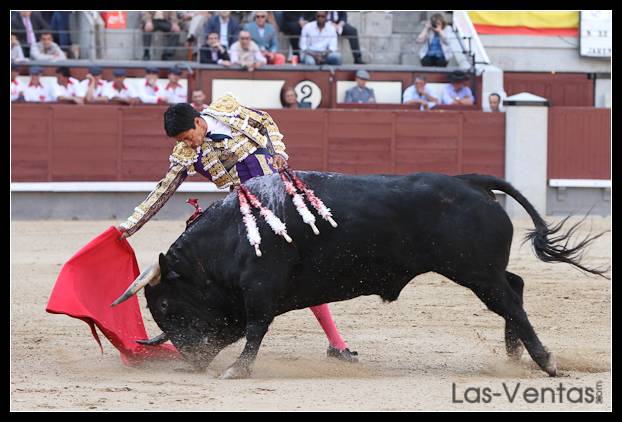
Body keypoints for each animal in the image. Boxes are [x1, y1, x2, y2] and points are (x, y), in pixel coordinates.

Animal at [128, 171, 608, 380]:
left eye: (166, 303)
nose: (191, 358)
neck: (232, 236)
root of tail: (469, 181)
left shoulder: (261, 289)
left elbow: (255, 329)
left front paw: (237, 370)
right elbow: (256, 328)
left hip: (474, 271)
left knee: (509, 301)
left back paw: (546, 361)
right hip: (479, 270)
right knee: (516, 288)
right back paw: (514, 355)